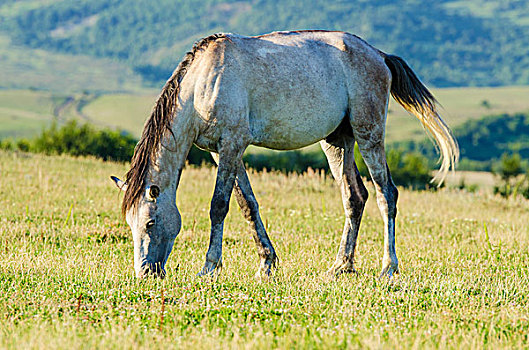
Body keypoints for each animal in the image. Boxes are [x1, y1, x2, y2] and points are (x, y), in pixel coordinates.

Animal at [110, 31, 458, 280]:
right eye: (130, 223)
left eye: (151, 223)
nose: (145, 273)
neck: (203, 83)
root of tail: (380, 55)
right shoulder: (221, 152)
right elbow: (247, 205)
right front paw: (266, 263)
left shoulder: (232, 145)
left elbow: (219, 206)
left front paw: (209, 267)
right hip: (338, 141)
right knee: (355, 196)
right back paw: (341, 266)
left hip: (368, 134)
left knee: (387, 195)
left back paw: (388, 267)